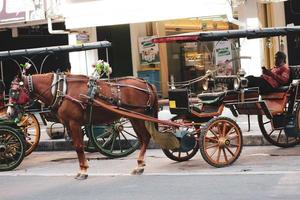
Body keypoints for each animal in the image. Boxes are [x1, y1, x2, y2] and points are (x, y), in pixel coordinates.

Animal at [7, 72, 159, 180]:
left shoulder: (74, 123)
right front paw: (82, 168)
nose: (9, 113)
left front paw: (83, 171)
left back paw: (140, 165)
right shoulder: (69, 124)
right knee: (142, 138)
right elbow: (76, 146)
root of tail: (146, 83)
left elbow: (79, 147)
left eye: (15, 92)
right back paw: (140, 165)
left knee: (145, 137)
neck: (61, 91)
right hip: (135, 118)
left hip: (137, 117)